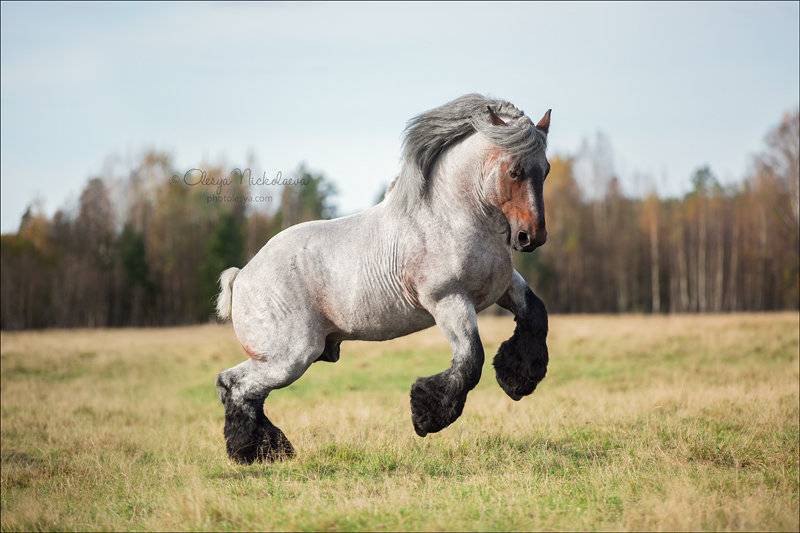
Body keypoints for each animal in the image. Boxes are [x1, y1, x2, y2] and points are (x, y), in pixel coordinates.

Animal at [216, 93, 552, 464]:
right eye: (515, 171)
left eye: (546, 170)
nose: (531, 237)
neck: (455, 218)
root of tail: (242, 276)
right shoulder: (448, 300)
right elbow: (470, 360)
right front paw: (425, 416)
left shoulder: (504, 287)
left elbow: (536, 315)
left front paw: (518, 379)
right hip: (290, 356)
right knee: (237, 386)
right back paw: (252, 452)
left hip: (287, 357)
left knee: (236, 386)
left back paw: (267, 449)